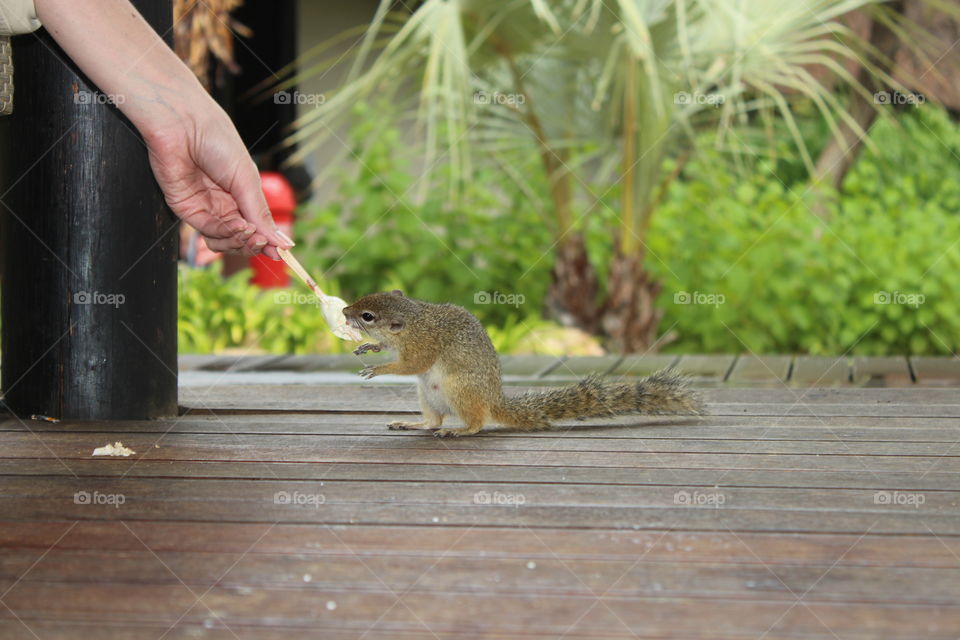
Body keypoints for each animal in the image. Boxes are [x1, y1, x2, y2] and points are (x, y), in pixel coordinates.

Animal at [343, 290, 704, 437]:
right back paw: (413, 424)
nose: (345, 312)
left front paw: (379, 368)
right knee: (432, 421)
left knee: (476, 422)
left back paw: (460, 430)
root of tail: (493, 401)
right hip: (428, 396)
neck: (414, 321)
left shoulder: (423, 345)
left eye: (368, 315)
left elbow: (410, 364)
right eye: (365, 299)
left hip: (460, 389)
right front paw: (369, 348)